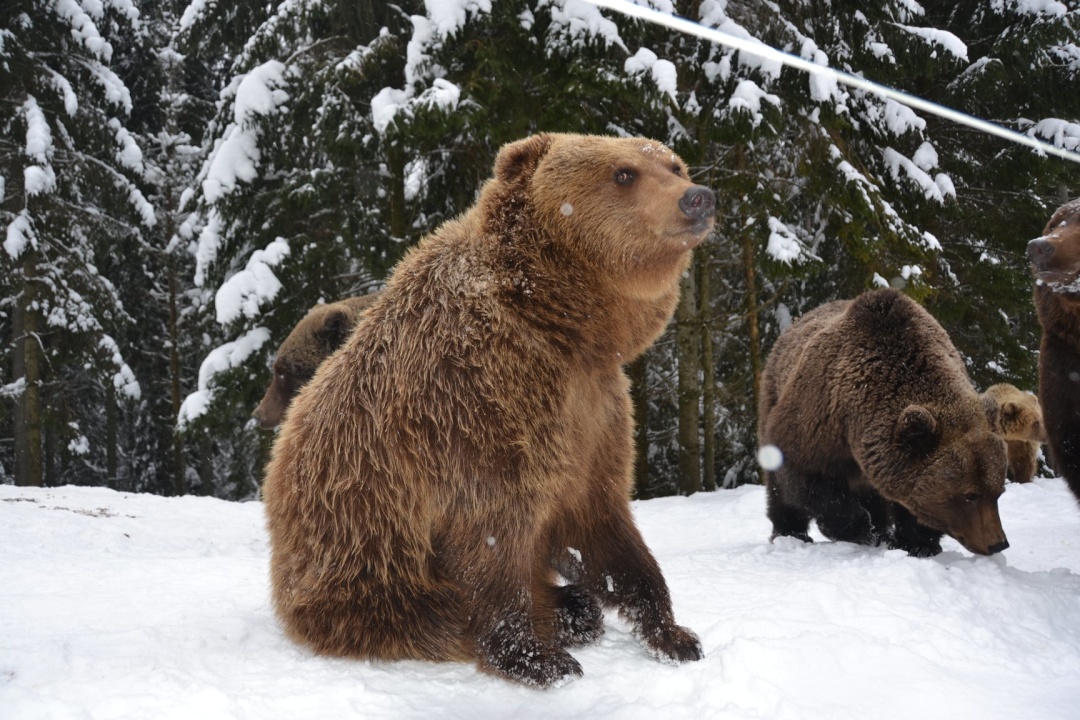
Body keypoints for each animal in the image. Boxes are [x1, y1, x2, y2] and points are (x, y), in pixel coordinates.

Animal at [760, 289, 1010, 561]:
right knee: (779, 488)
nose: (998, 543)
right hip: (773, 394)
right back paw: (790, 533)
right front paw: (859, 529)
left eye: (998, 492)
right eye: (969, 495)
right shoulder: (817, 424)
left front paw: (917, 543)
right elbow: (810, 481)